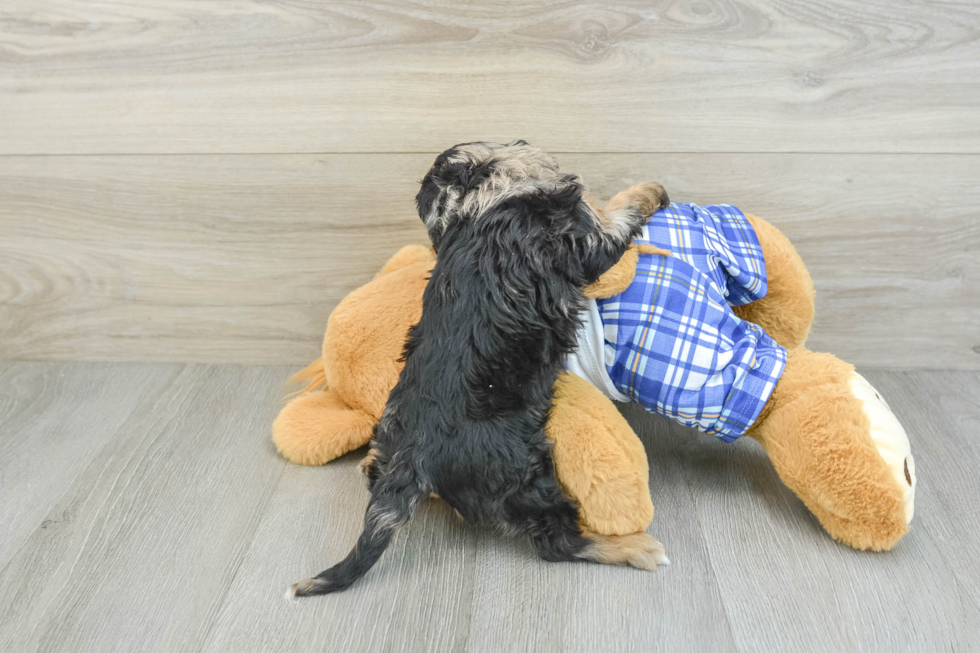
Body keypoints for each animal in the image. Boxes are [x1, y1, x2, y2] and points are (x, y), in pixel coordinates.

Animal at [288, 141, 664, 596]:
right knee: (555, 542)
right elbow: (618, 217)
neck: (479, 205)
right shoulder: (582, 237)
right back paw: (634, 547)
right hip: (527, 475)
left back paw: (370, 465)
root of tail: (414, 458)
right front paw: (651, 189)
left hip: (395, 438)